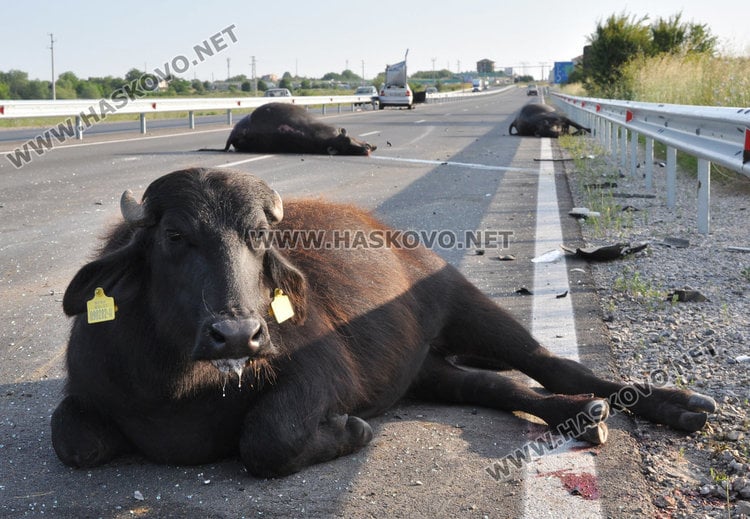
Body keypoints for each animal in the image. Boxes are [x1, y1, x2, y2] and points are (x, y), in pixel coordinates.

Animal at [50, 169, 720, 478]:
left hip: (467, 305)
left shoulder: (321, 373)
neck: (182, 386)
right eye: (174, 236)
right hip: (426, 370)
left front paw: (350, 432)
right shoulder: (88, 393)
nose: (238, 335)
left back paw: (680, 405)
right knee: (498, 386)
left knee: (550, 365)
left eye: (261, 236)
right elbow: (73, 441)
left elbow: (266, 438)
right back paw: (581, 416)